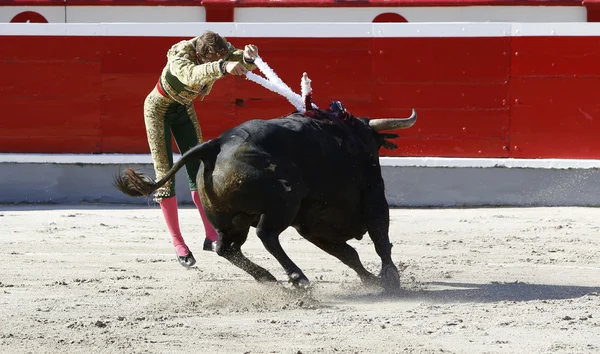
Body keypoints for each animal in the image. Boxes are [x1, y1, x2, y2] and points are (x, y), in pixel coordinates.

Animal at [116, 106, 418, 292]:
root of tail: (217, 144)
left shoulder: (311, 226)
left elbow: (348, 254)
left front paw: (372, 280)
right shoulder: (374, 196)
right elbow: (380, 237)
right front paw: (390, 278)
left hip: (230, 220)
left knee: (225, 248)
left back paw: (267, 277)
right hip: (282, 206)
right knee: (266, 234)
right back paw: (298, 277)